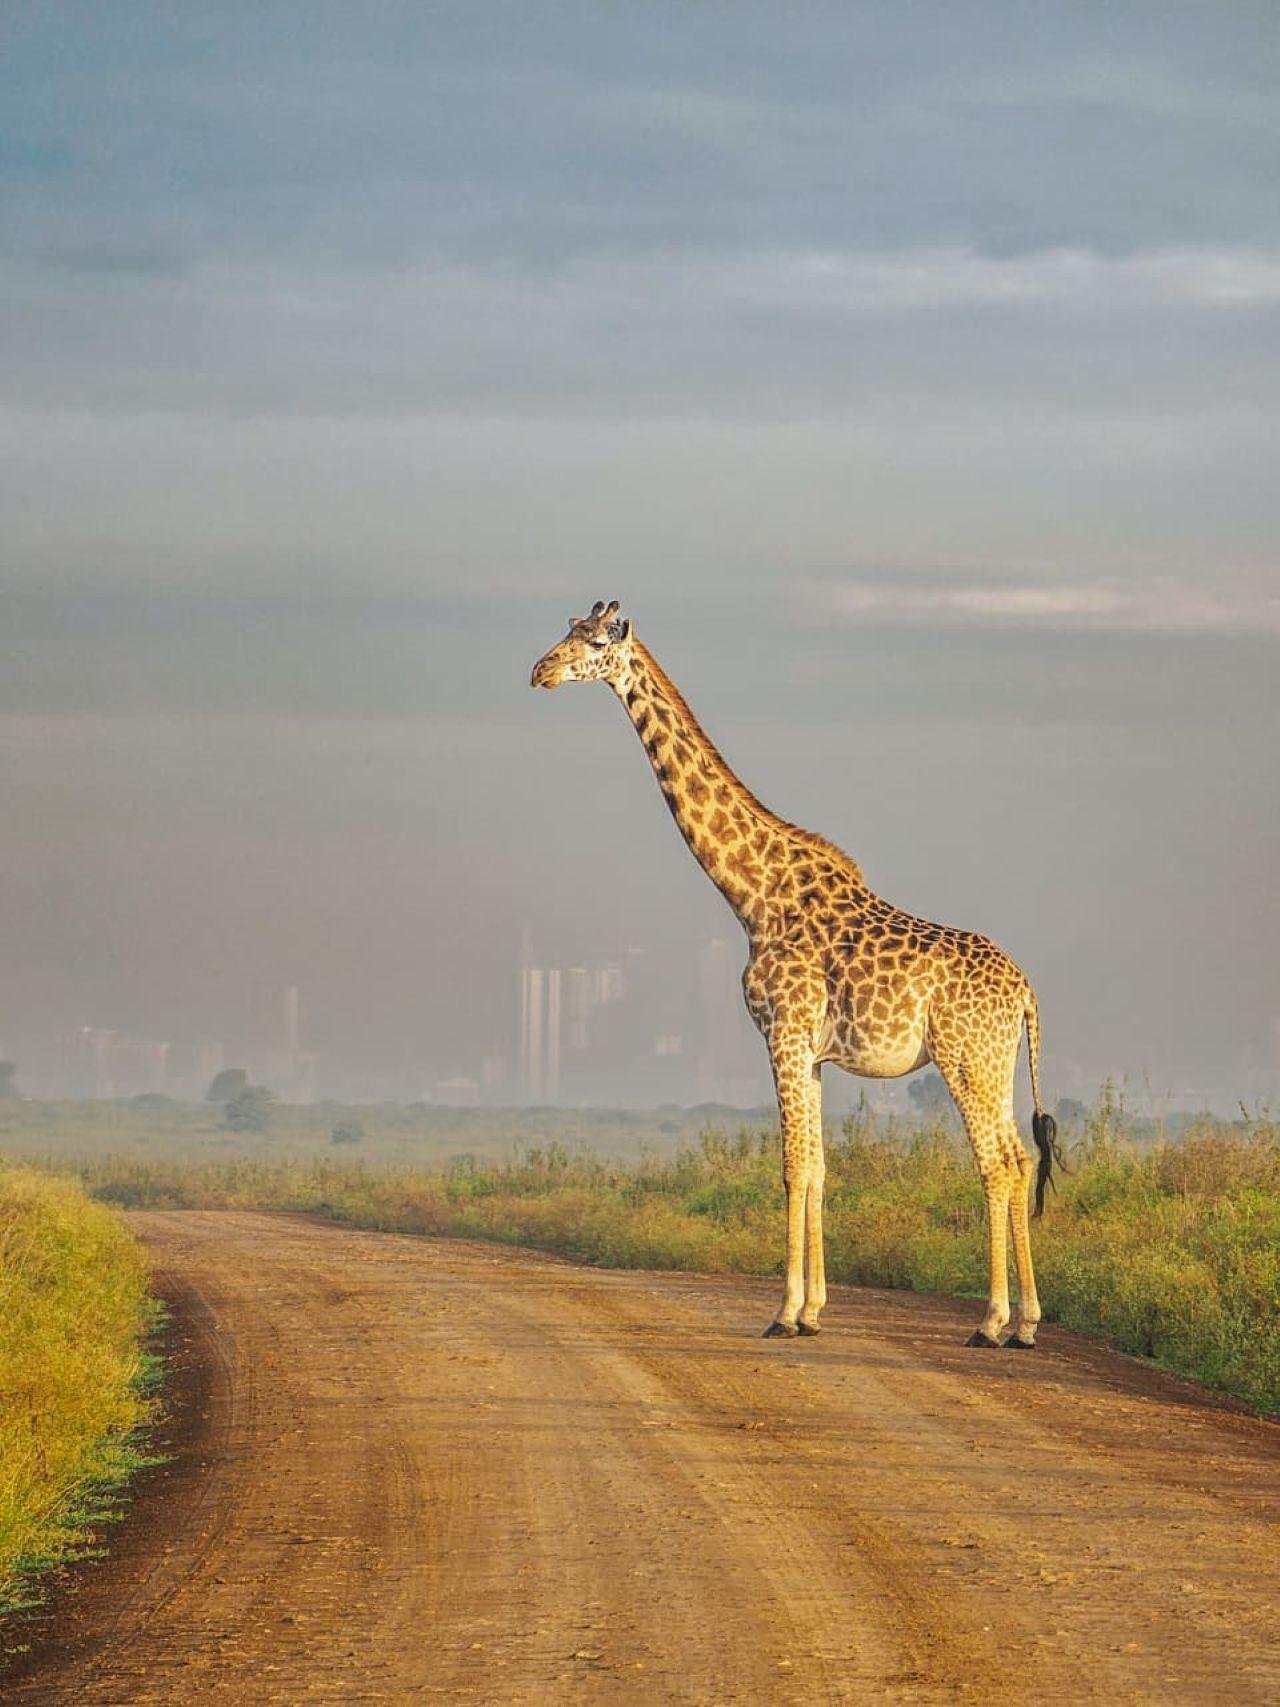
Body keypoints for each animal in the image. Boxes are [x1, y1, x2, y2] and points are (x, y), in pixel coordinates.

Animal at [531, 602, 1065, 1346]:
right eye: (566, 631)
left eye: (594, 642)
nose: (540, 671)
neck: (753, 895)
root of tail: (1026, 992)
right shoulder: (809, 1052)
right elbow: (815, 1166)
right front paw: (812, 1311)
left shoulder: (781, 1033)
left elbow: (789, 1166)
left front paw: (783, 1313)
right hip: (999, 1061)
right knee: (1019, 1159)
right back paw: (1026, 1322)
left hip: (965, 1058)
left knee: (997, 1163)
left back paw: (992, 1322)